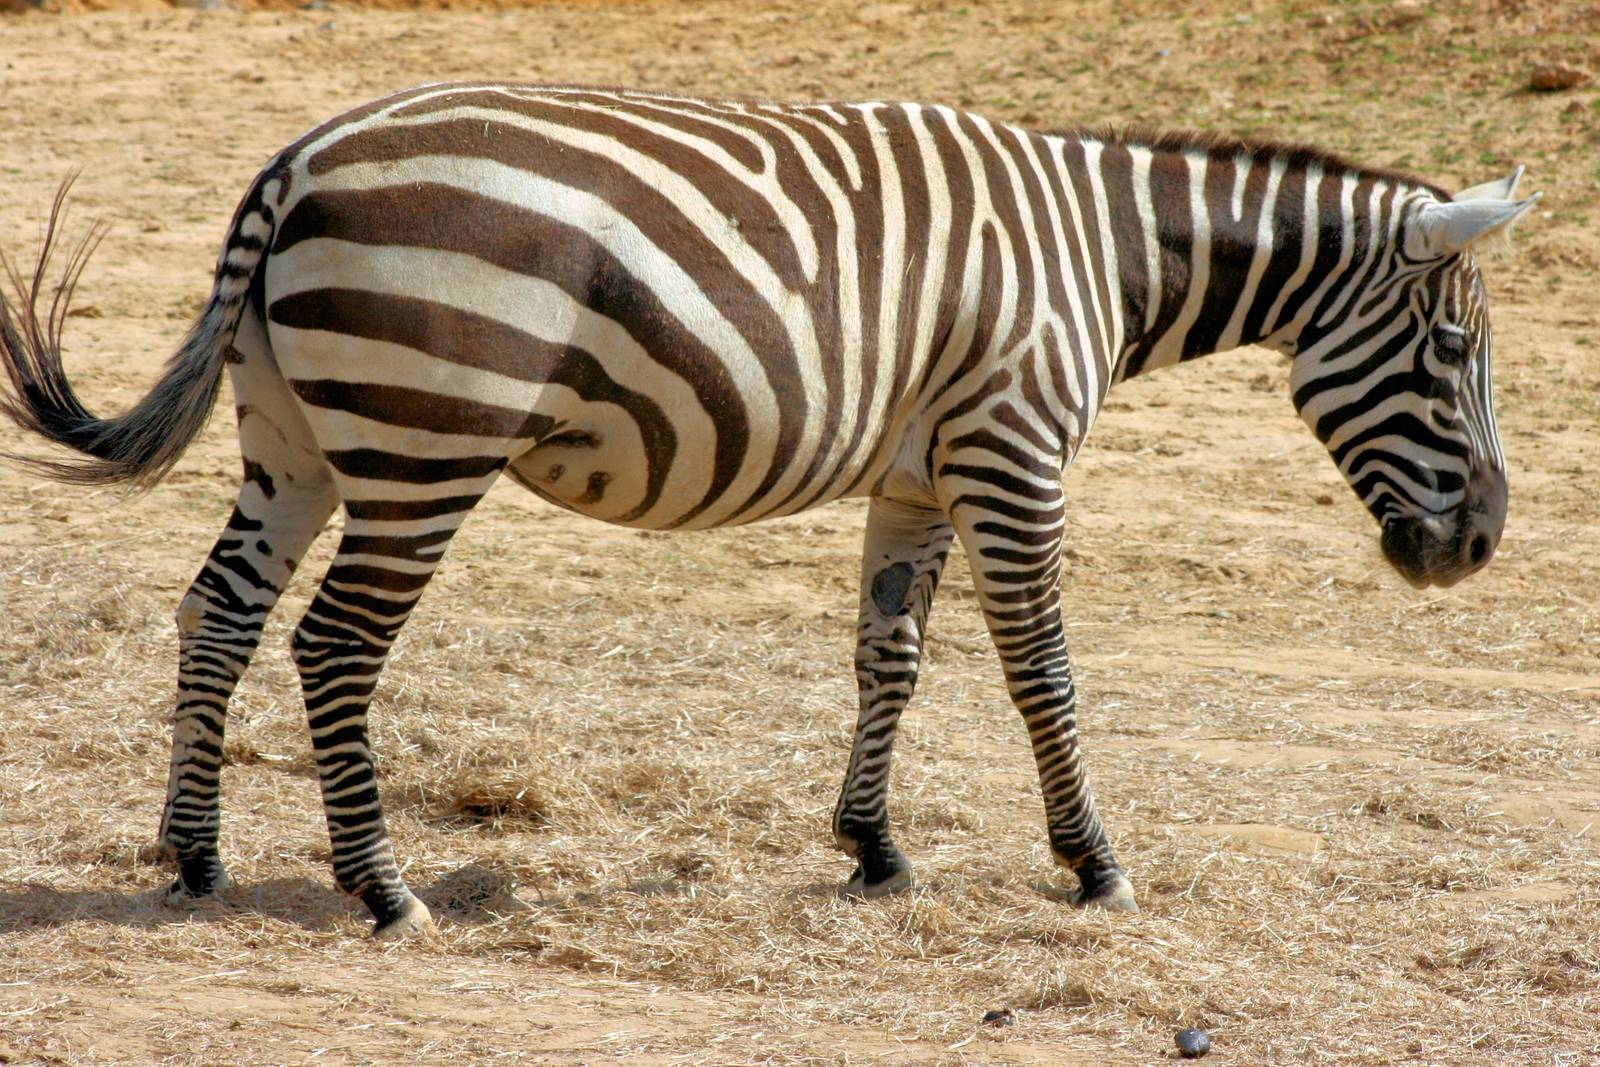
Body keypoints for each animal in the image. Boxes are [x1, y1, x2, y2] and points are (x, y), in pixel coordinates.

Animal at [0, 84, 1534, 938]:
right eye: (1455, 350)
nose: (1477, 549)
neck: (1102, 252)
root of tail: (298, 164)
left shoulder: (920, 472)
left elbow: (889, 657)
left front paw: (873, 848)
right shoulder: (1014, 448)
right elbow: (1042, 669)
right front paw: (1093, 863)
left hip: (297, 431)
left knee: (218, 607)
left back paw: (195, 855)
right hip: (426, 433)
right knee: (333, 645)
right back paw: (381, 889)